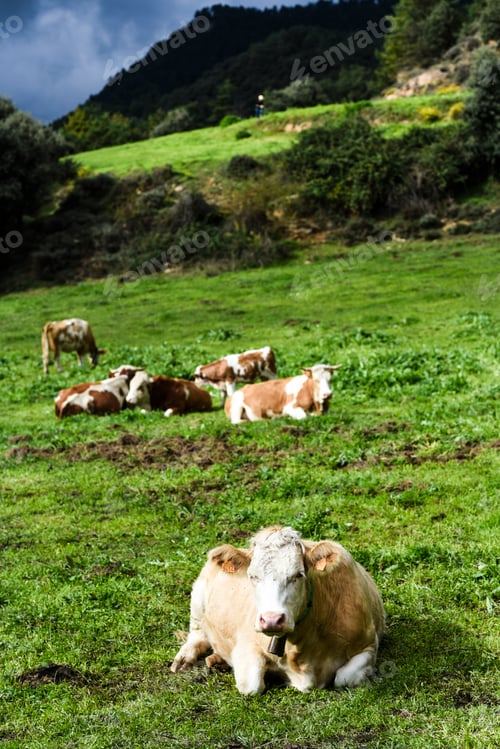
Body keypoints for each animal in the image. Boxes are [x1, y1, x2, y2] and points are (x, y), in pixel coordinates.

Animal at [171, 525, 385, 695]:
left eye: (298, 575)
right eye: (252, 576)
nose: (272, 619)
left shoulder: (369, 645)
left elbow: (343, 678)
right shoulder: (247, 644)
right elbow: (251, 686)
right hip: (198, 596)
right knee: (197, 634)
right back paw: (184, 659)